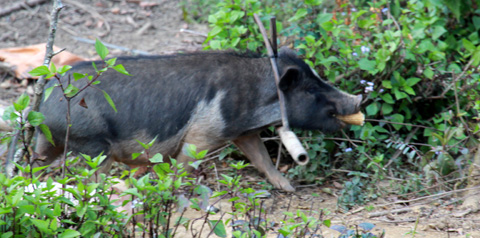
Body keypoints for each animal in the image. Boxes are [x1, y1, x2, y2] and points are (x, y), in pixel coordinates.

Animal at [35, 48, 362, 192]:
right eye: (310, 89)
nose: (359, 99)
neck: (255, 96)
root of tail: (45, 99)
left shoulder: (241, 132)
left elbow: (261, 159)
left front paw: (289, 188)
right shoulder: (203, 134)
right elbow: (183, 166)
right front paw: (164, 189)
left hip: (48, 141)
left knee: (33, 162)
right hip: (94, 145)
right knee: (93, 178)